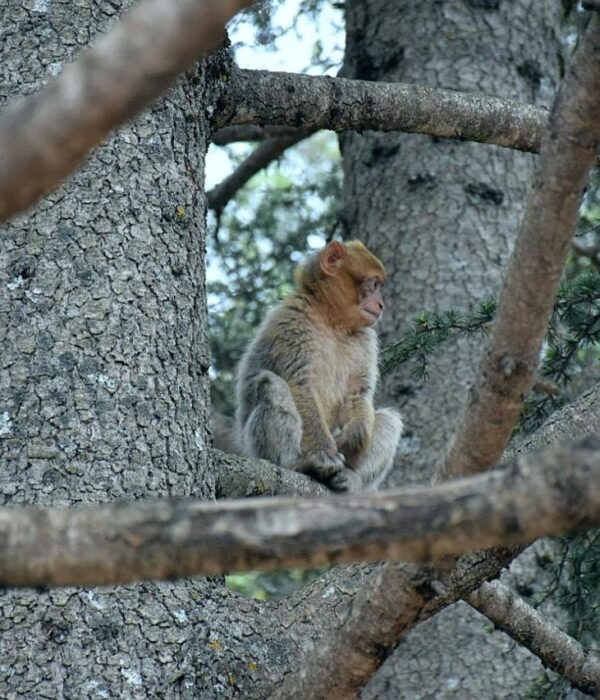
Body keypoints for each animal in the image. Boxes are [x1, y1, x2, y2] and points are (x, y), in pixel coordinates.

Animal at [234, 241, 404, 492]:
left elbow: (358, 393)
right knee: (270, 384)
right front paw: (324, 454)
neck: (333, 321)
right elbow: (300, 385)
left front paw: (352, 438)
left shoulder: (366, 340)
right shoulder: (292, 323)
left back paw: (351, 478)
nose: (381, 304)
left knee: (389, 421)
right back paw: (298, 465)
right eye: (373, 284)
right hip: (254, 449)